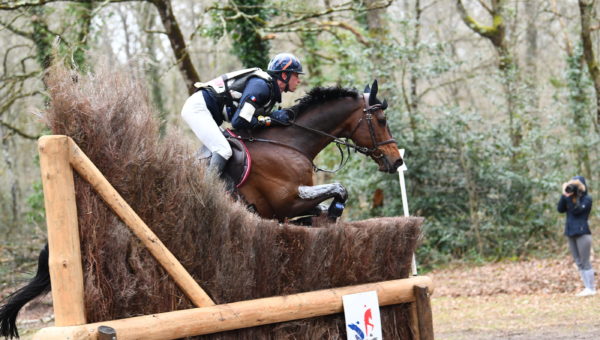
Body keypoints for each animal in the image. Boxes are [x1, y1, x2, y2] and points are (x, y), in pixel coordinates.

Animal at [230, 80, 404, 222]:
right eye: (382, 120)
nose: (398, 160)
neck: (288, 144)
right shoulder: (286, 204)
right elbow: (340, 189)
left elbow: (324, 206)